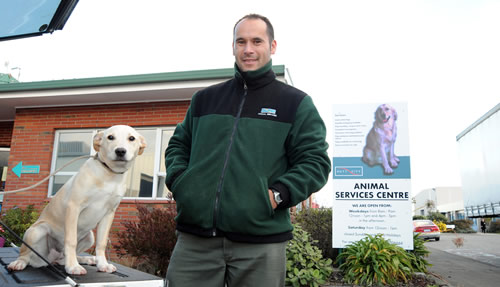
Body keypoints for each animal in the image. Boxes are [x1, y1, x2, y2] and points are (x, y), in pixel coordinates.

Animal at [7, 125, 146, 276]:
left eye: (131, 138)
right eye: (110, 137)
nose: (120, 151)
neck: (109, 174)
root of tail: (50, 259)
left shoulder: (109, 213)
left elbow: (101, 243)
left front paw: (102, 264)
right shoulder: (74, 207)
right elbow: (71, 240)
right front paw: (73, 266)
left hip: (89, 237)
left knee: (63, 258)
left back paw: (86, 259)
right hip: (37, 231)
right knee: (26, 255)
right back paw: (19, 263)